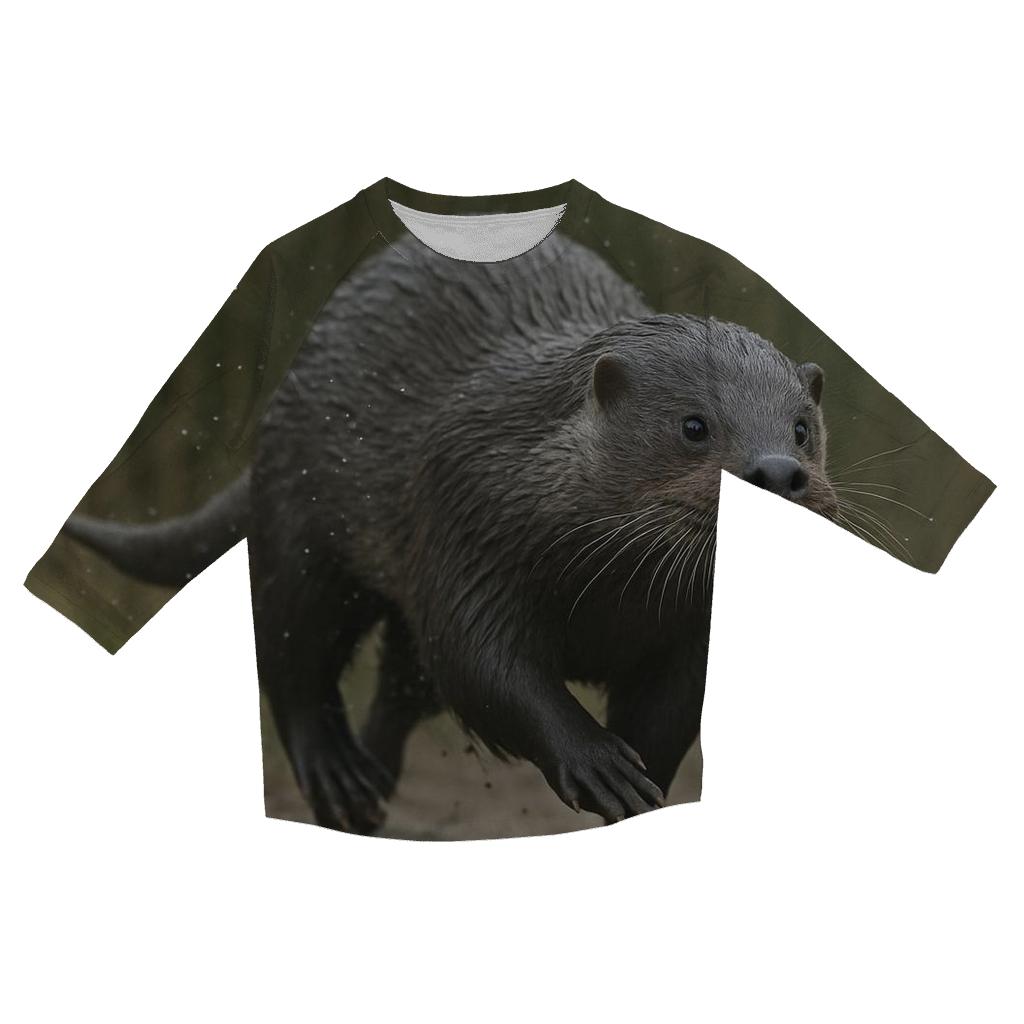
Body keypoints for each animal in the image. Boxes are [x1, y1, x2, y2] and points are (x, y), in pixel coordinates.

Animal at [64, 237, 837, 834]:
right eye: (694, 425)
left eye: (802, 427)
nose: (779, 471)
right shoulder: (466, 522)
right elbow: (481, 664)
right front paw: (597, 762)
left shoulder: (687, 628)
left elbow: (673, 706)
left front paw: (642, 790)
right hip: (300, 513)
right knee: (292, 647)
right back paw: (336, 773)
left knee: (400, 685)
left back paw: (371, 785)